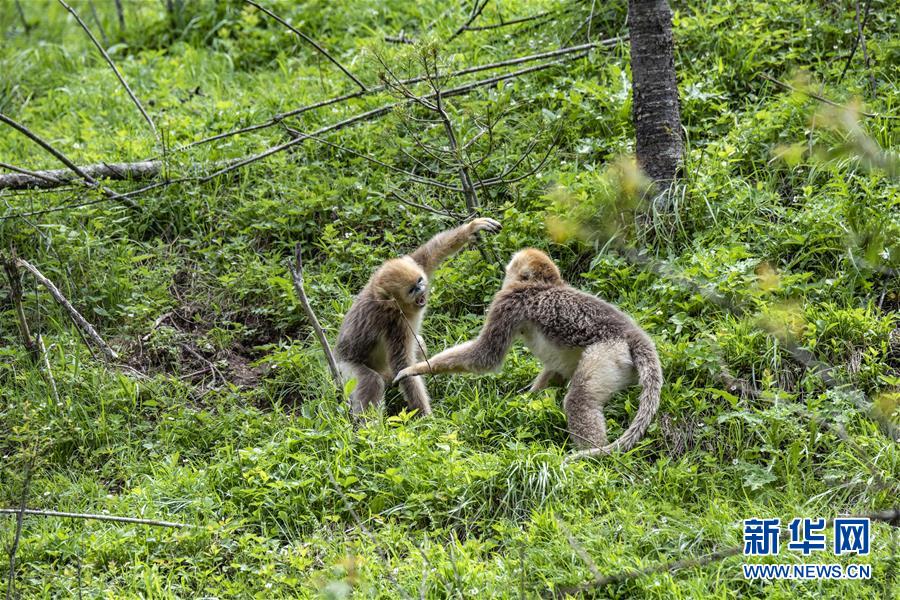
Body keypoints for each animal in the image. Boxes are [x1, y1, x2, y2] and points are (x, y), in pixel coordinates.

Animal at [336, 218, 502, 414]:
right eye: (412, 290)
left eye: (420, 281)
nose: (422, 289)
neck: (394, 306)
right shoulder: (394, 324)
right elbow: (403, 367)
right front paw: (427, 418)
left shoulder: (414, 264)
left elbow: (429, 254)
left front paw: (472, 228)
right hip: (345, 369)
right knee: (371, 381)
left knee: (419, 343)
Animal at [398, 248, 664, 460]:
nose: (505, 277)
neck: (544, 285)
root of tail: (634, 335)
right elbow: (553, 371)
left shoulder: (508, 301)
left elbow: (486, 356)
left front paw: (416, 368)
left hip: (610, 354)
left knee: (579, 399)